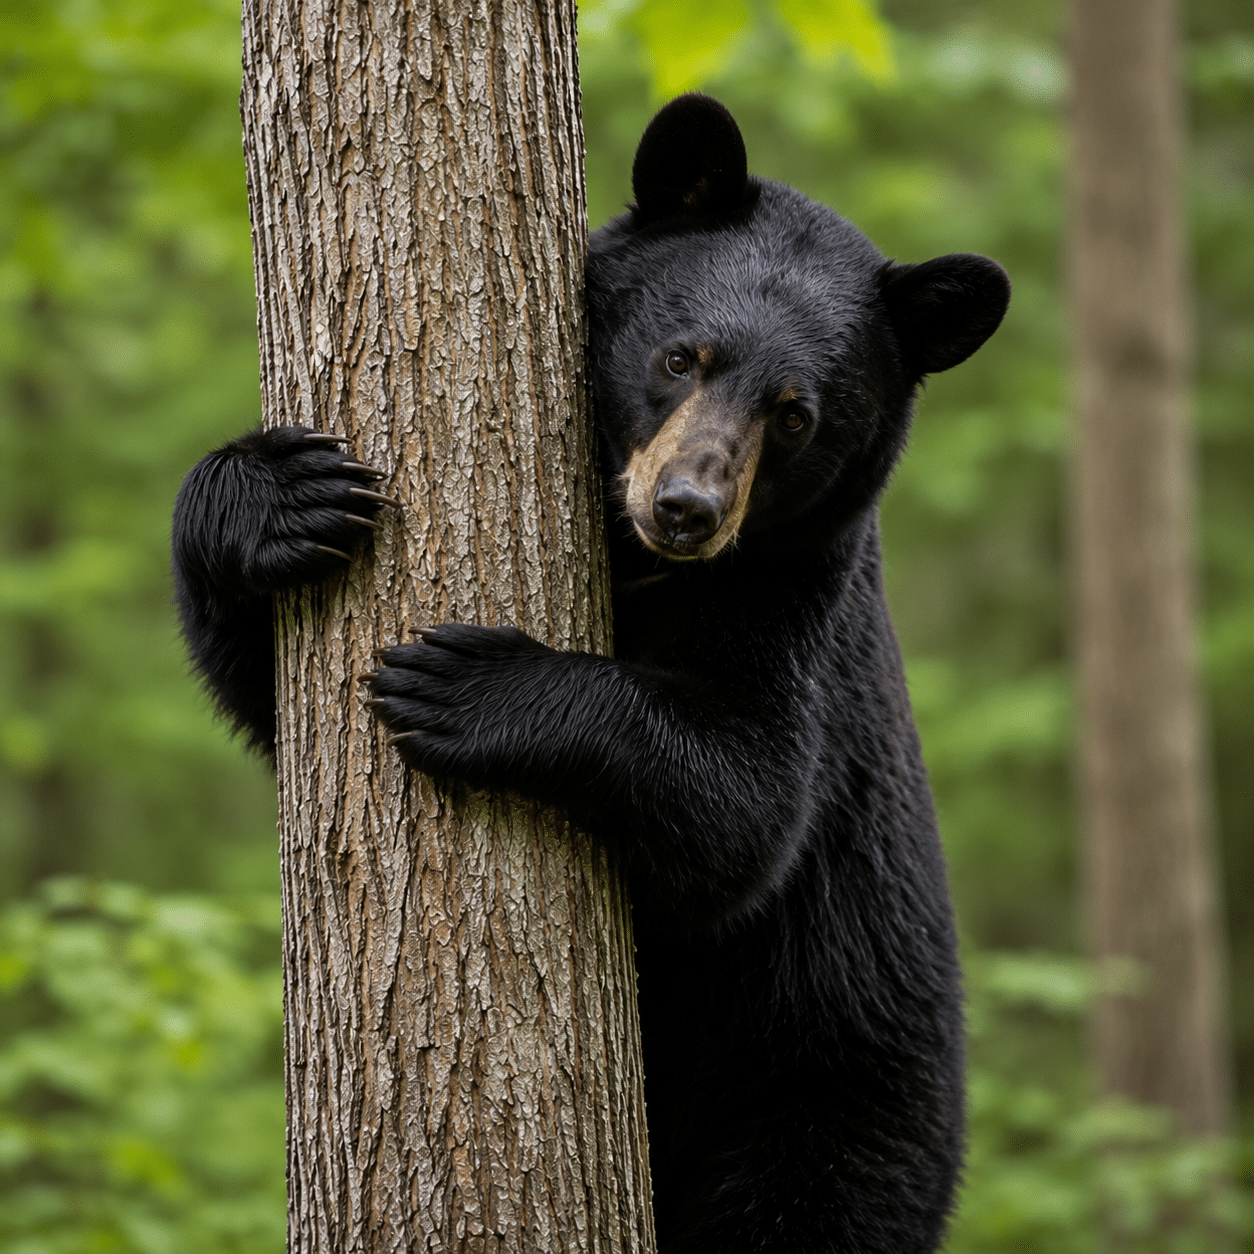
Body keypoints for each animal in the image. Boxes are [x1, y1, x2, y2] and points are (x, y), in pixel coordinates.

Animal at [173, 94, 1009, 1253]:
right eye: (680, 357)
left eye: (796, 414)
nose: (688, 508)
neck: (638, 562)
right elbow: (269, 688)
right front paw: (279, 497)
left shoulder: (796, 600)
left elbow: (745, 802)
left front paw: (464, 686)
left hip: (816, 1115)